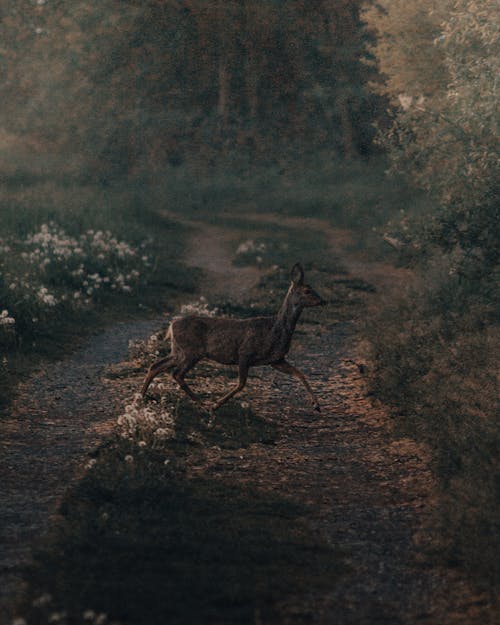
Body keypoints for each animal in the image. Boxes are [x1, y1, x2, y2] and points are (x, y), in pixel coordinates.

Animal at [142, 262, 328, 412]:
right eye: (307, 290)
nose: (323, 301)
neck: (275, 329)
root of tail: (172, 325)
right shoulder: (245, 353)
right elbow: (241, 384)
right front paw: (216, 404)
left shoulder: (276, 359)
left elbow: (300, 374)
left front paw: (317, 405)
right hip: (191, 351)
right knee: (177, 373)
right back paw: (203, 404)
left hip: (179, 350)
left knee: (157, 365)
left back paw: (142, 396)